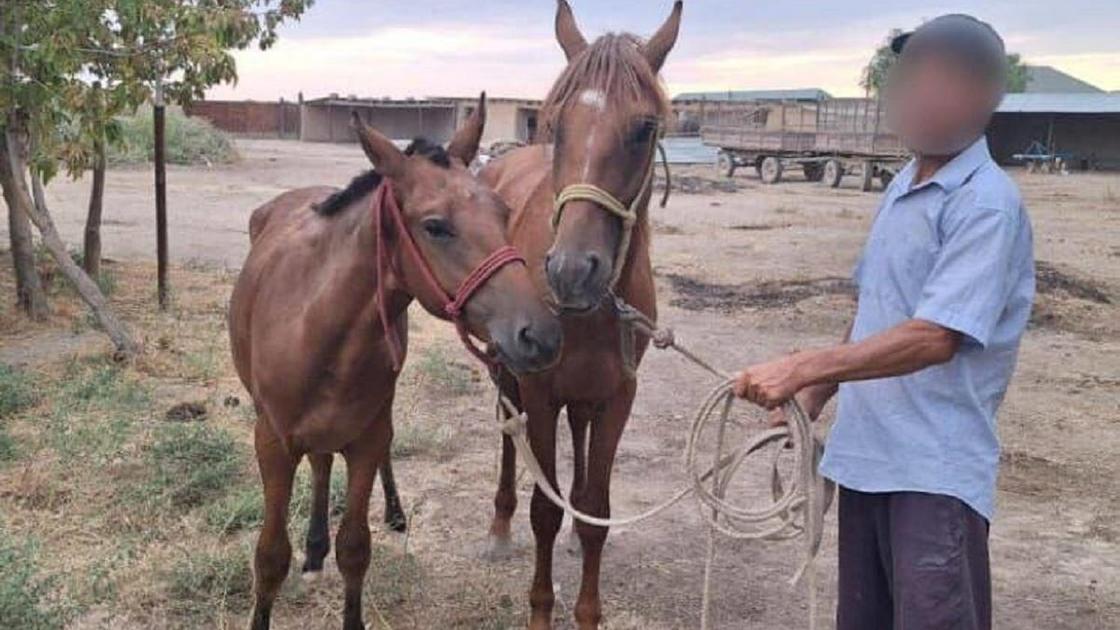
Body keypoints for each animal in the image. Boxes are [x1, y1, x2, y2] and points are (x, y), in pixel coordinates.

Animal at [229, 95, 560, 623]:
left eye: (504, 212)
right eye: (435, 226)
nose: (540, 335)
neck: (314, 327)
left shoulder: (366, 439)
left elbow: (355, 548)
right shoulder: (273, 446)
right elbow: (270, 557)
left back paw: (385, 515)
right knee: (320, 461)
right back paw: (314, 548)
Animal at [481, 2, 680, 623]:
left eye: (645, 128)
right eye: (555, 124)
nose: (571, 271)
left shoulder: (618, 395)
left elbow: (598, 508)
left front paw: (588, 611)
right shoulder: (540, 389)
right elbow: (542, 511)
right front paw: (541, 612)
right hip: (507, 370)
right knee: (507, 432)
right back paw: (499, 525)